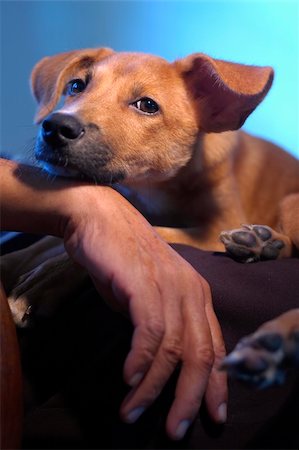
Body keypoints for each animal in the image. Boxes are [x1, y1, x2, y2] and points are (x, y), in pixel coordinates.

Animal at [2, 48, 299, 386]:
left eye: (147, 105)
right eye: (77, 86)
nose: (55, 127)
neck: (155, 189)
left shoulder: (216, 227)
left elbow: (150, 231)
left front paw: (45, 281)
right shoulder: (115, 205)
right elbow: (45, 241)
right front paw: (12, 262)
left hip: (290, 204)